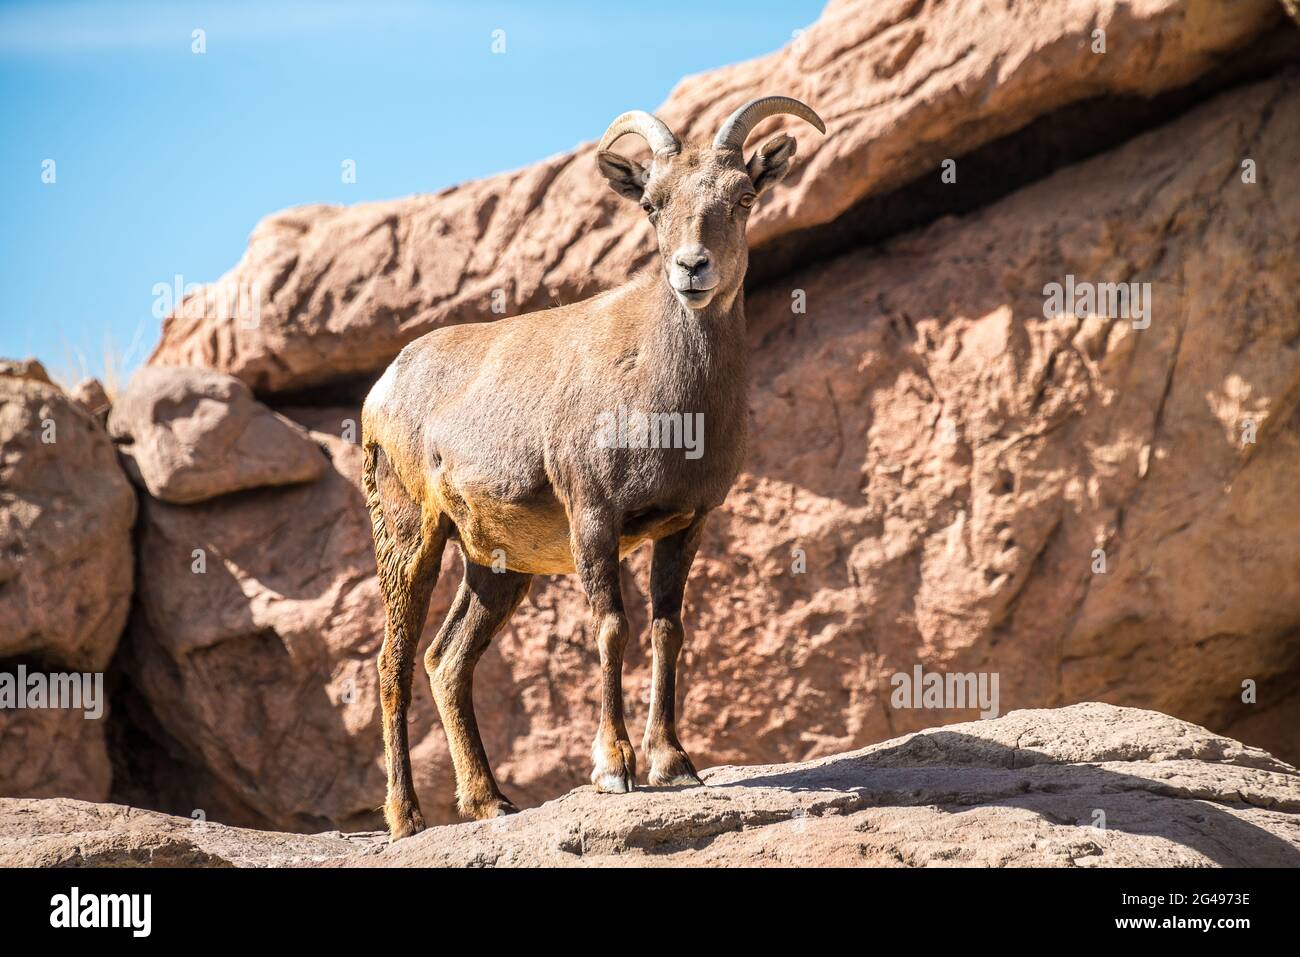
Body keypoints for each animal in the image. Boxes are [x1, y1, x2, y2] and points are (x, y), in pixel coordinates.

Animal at [361, 96, 825, 838]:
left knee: (446, 660)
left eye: (743, 196)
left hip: (496, 568)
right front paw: (615, 769)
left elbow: (668, 630)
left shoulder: (686, 525)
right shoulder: (594, 518)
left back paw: (491, 800)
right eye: (653, 204)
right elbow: (613, 628)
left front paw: (674, 763)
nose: (692, 268)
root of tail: (383, 389)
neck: (670, 402)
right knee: (394, 660)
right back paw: (406, 817)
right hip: (411, 539)